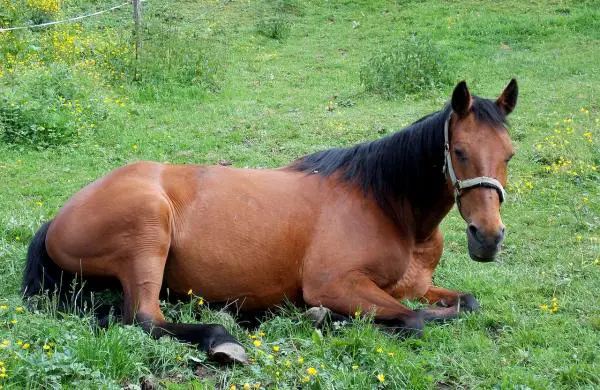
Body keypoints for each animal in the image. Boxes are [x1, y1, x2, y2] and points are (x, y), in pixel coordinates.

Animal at [23, 79, 516, 362]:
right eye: (459, 151)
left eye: (510, 154)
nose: (487, 238)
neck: (386, 206)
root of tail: (59, 216)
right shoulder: (335, 284)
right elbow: (413, 320)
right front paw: (323, 318)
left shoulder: (412, 286)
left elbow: (465, 303)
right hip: (148, 230)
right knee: (144, 318)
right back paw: (223, 338)